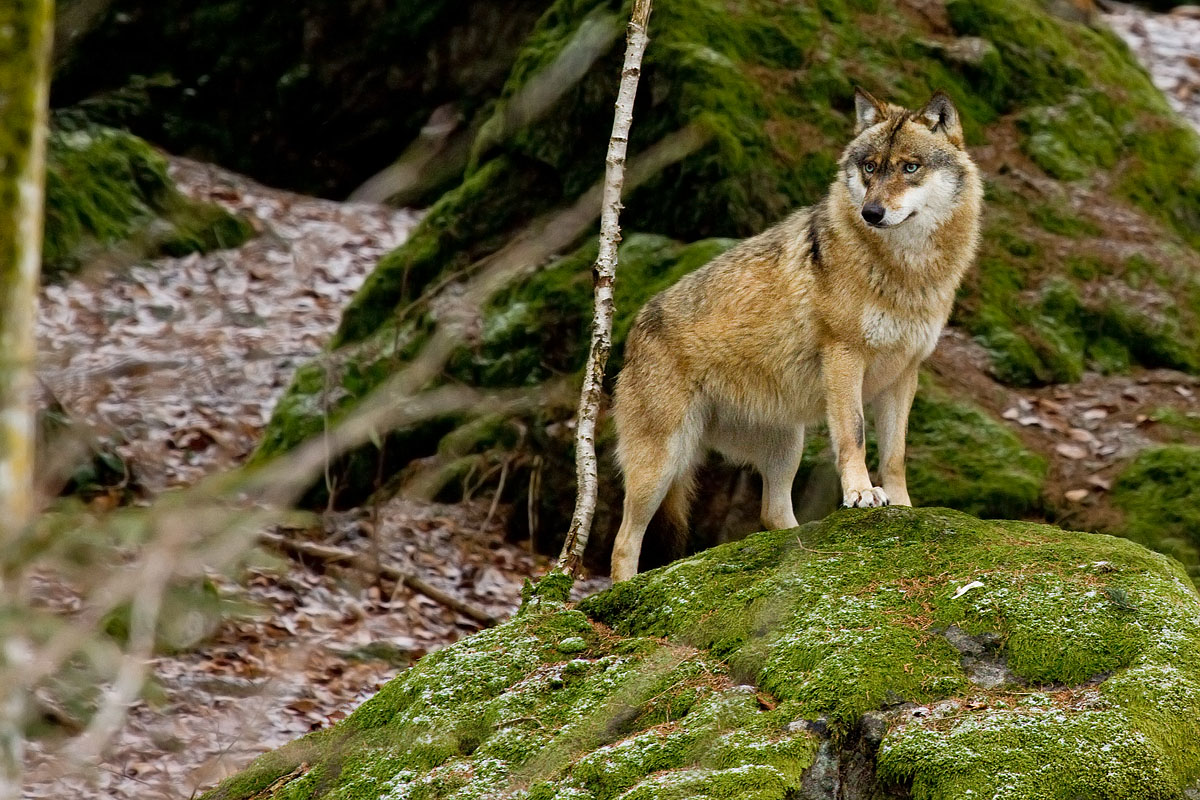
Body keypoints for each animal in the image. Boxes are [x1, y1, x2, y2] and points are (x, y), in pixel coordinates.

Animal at [609, 88, 983, 582]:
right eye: (870, 168)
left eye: (909, 167)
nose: (871, 212)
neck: (907, 272)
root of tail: (634, 330)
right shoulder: (845, 357)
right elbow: (854, 436)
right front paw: (862, 494)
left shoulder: (904, 374)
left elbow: (895, 453)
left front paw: (903, 506)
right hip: (662, 465)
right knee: (622, 543)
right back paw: (621, 589)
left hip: (786, 447)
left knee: (771, 515)